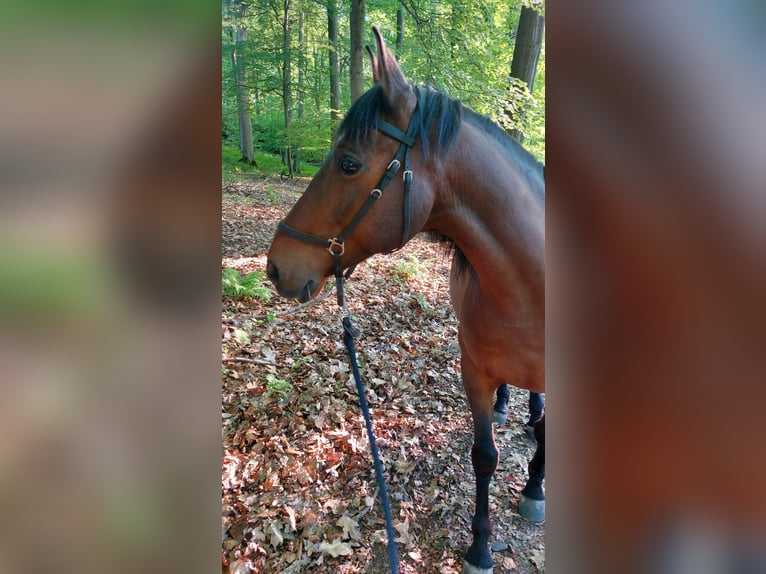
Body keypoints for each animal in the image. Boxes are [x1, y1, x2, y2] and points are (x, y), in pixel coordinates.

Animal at [266, 27, 544, 574]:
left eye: (348, 163)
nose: (275, 265)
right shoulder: (473, 370)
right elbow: (485, 456)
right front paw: (481, 545)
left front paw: (535, 490)